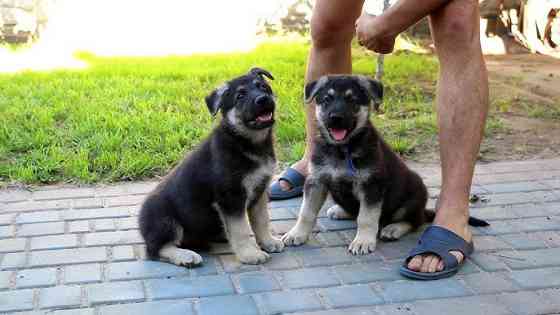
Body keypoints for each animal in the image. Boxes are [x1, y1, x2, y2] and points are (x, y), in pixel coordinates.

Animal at [136, 67, 284, 266]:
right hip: (165, 220)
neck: (247, 142)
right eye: (240, 96)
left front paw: (268, 242)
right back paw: (186, 256)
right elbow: (241, 229)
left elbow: (261, 221)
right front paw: (249, 254)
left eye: (263, 87)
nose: (263, 99)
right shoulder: (231, 197)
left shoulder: (260, 191)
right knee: (156, 249)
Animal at [282, 75, 488, 256]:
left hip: (413, 194)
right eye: (326, 100)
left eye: (352, 101)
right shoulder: (316, 181)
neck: (342, 149)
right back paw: (340, 210)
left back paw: (393, 228)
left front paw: (363, 241)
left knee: (414, 221)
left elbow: (366, 218)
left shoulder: (371, 186)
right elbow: (306, 212)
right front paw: (296, 234)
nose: (335, 117)